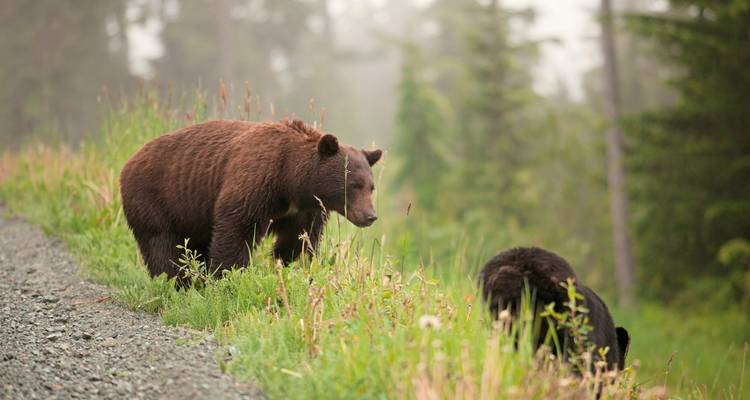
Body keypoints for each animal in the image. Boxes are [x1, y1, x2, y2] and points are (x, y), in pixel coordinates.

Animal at [119, 119, 382, 282]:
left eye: (371, 187)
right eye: (353, 185)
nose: (370, 216)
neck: (292, 182)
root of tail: (129, 162)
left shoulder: (304, 210)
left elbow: (299, 239)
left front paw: (288, 265)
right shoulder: (257, 182)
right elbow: (237, 227)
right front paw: (228, 275)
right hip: (154, 198)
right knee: (161, 245)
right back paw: (179, 282)